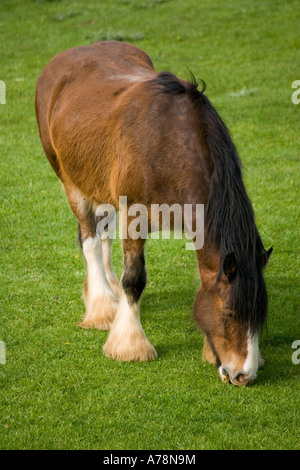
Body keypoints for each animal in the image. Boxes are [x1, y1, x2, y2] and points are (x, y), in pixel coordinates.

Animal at [35, 40, 272, 386]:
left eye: (260, 316)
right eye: (229, 315)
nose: (244, 374)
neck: (166, 144)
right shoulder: (134, 215)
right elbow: (134, 278)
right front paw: (129, 344)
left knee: (103, 236)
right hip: (72, 184)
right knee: (90, 241)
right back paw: (102, 307)